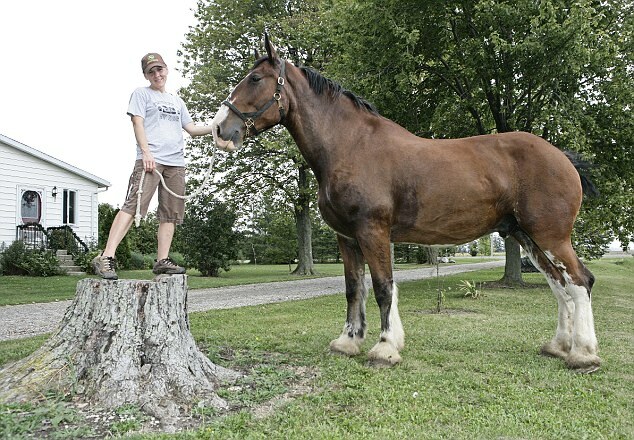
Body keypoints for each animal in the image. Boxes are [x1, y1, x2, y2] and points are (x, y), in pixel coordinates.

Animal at [210, 34, 600, 372]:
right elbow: (354, 289)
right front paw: (348, 342)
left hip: (550, 236)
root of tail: (563, 158)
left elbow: (383, 288)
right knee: (560, 286)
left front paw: (384, 348)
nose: (220, 130)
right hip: (527, 237)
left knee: (580, 281)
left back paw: (583, 355)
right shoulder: (347, 238)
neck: (350, 146)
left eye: (255, 78)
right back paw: (558, 346)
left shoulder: (373, 231)